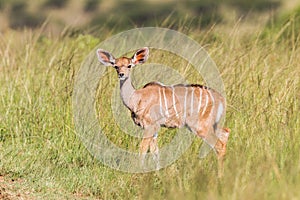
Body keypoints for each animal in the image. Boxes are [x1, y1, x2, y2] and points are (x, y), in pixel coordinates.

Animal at [96, 47, 230, 175]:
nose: (121, 74)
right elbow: (155, 151)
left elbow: (143, 148)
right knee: (225, 133)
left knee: (219, 145)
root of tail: (221, 99)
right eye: (116, 66)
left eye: (129, 65)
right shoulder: (155, 128)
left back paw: (220, 176)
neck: (137, 98)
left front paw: (139, 171)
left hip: (200, 126)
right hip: (212, 124)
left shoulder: (150, 125)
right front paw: (157, 173)